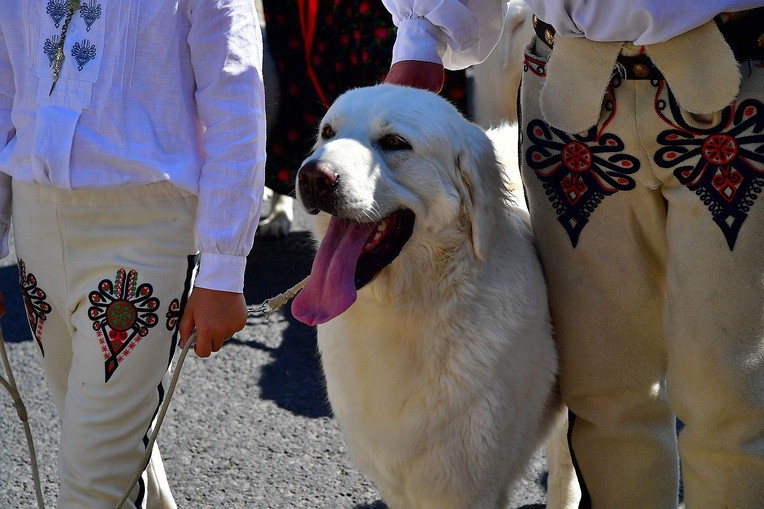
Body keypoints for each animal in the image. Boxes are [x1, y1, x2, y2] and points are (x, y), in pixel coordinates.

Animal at [292, 84, 580, 508]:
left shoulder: (471, 484)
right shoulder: (396, 481)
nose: (313, 176)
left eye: (395, 143)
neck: (406, 310)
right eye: (328, 133)